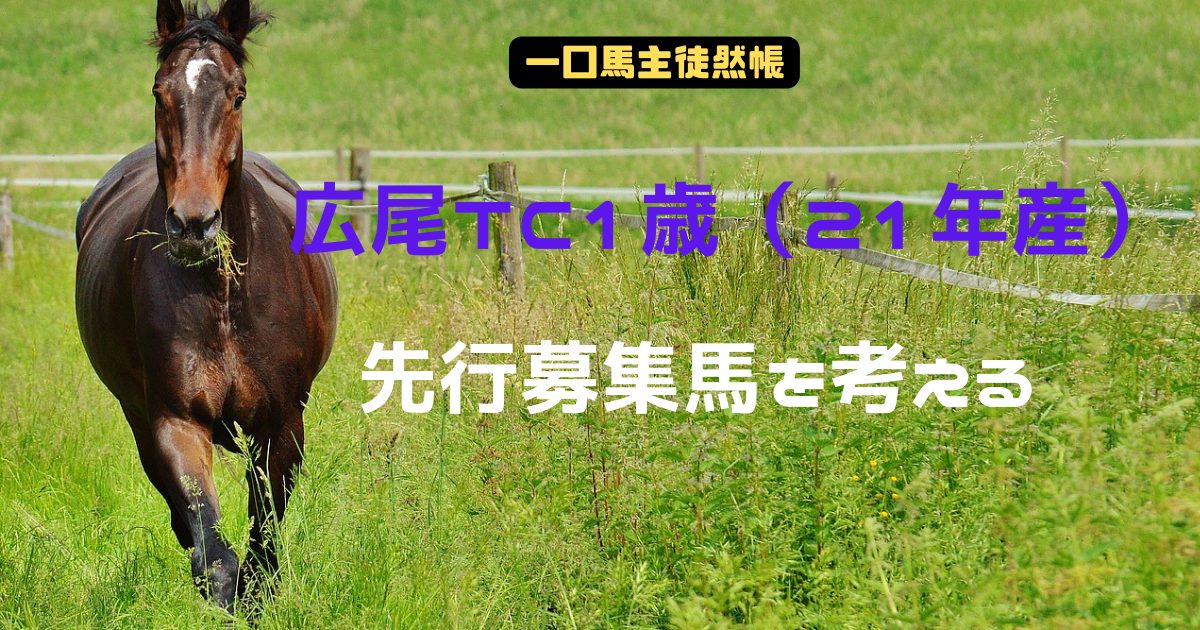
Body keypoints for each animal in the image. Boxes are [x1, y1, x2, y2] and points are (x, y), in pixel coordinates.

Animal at [74, 0, 337, 611]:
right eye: (159, 92)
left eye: (237, 95)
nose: (193, 225)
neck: (223, 300)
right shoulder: (176, 420)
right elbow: (213, 551)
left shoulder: (282, 424)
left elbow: (264, 537)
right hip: (138, 416)